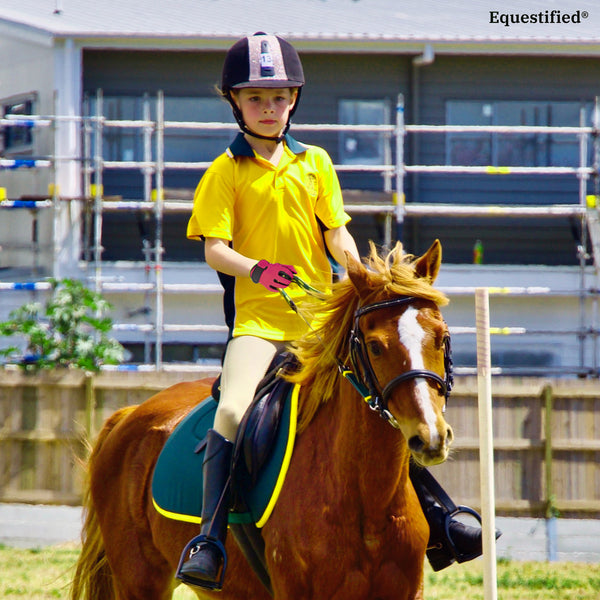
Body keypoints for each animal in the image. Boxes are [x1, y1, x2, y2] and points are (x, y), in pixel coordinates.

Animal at [70, 239, 452, 600]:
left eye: (443, 338)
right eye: (375, 346)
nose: (430, 437)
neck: (367, 503)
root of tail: (128, 415)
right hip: (139, 581)